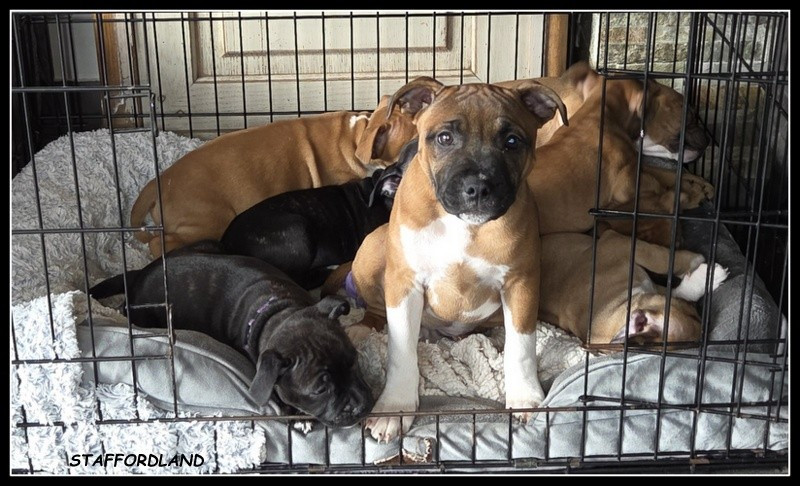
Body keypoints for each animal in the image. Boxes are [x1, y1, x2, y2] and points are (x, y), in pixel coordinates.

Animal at [88, 240, 373, 428]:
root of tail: (138, 275)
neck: (281, 311)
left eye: (354, 361)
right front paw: (295, 415)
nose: (360, 406)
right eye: (319, 390)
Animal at [344, 77, 567, 442]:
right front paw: (395, 407)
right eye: (445, 138)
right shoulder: (404, 283)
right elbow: (400, 351)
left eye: (512, 141)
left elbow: (521, 346)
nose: (477, 187)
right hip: (373, 249)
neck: (463, 225)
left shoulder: (521, 282)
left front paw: (524, 396)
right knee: (375, 312)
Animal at [530, 77, 713, 246]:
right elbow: (662, 188)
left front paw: (700, 185)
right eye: (690, 116)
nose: (708, 139)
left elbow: (667, 173)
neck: (594, 114)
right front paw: (691, 193)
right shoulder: (627, 185)